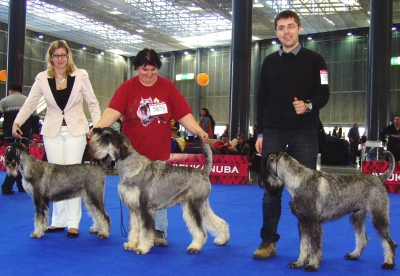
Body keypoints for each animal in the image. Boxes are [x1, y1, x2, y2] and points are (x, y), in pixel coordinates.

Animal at [89, 127, 230, 254]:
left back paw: (195, 247)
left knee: (201, 230)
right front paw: (131, 244)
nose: (94, 131)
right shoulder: (134, 209)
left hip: (193, 207)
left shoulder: (145, 208)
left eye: (106, 136)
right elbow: (134, 228)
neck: (131, 168)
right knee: (217, 221)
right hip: (201, 206)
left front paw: (142, 248)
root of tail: (203, 172)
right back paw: (222, 239)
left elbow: (145, 231)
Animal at [260, 151, 396, 272]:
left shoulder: (313, 223)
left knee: (389, 242)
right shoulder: (303, 222)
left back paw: (388, 263)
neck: (297, 180)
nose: (261, 182)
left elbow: (314, 247)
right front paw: (299, 263)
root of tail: (378, 178)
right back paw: (354, 255)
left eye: (264, 166)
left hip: (379, 217)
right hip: (356, 216)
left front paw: (312, 265)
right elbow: (304, 245)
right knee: (362, 238)